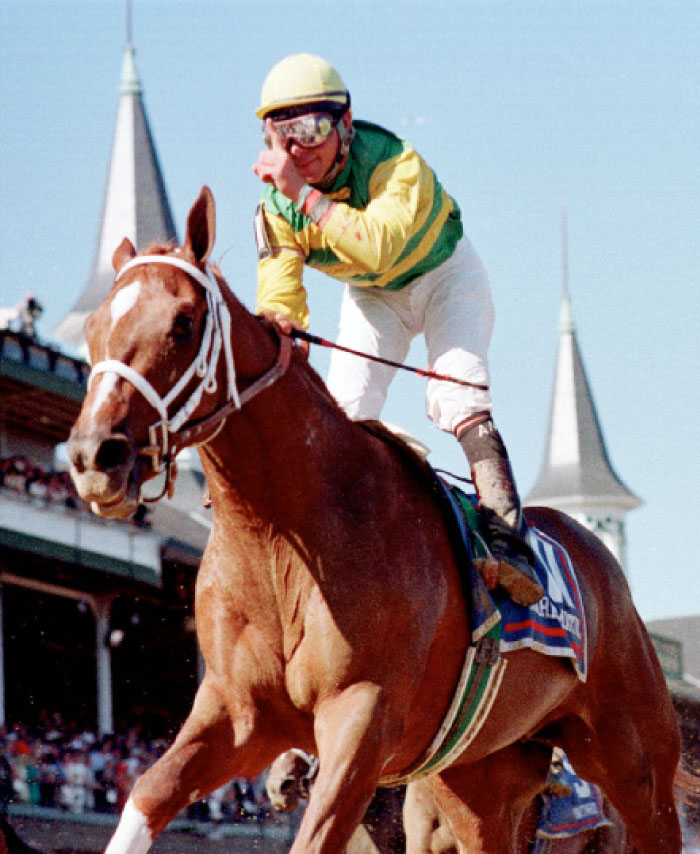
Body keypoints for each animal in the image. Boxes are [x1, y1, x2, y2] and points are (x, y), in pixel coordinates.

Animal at [68, 189, 680, 854]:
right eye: (95, 328)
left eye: (182, 323)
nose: (95, 455)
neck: (283, 539)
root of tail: (600, 561)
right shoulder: (236, 713)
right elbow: (149, 792)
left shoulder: (361, 719)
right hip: (483, 778)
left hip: (636, 762)